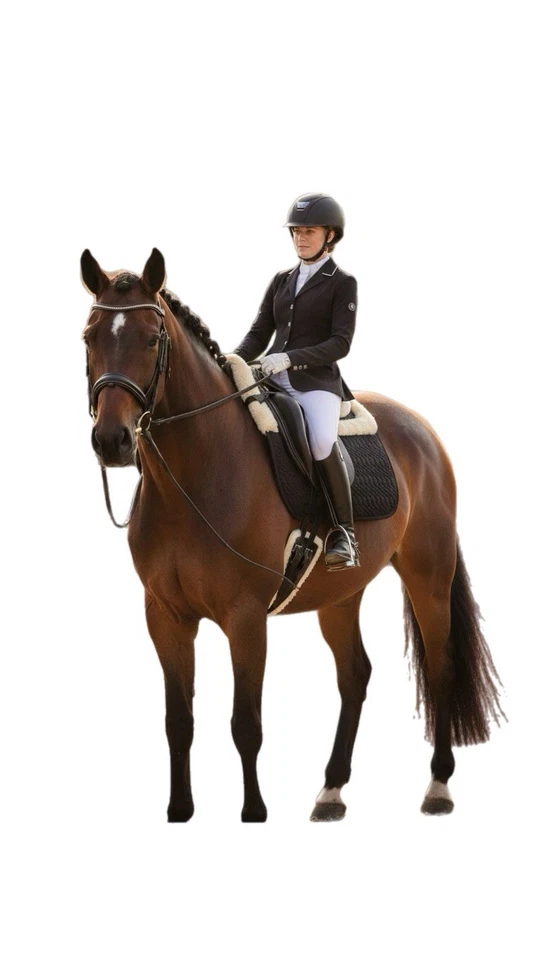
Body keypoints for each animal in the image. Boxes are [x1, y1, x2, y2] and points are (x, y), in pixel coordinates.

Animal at [81, 246, 504, 822]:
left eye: (151, 338)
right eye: (89, 336)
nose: (112, 440)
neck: (196, 473)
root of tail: (423, 431)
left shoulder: (245, 617)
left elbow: (246, 725)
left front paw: (254, 813)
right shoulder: (165, 616)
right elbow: (178, 723)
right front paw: (180, 811)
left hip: (428, 578)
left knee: (440, 669)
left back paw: (438, 787)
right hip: (340, 595)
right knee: (355, 675)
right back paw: (331, 790)